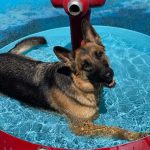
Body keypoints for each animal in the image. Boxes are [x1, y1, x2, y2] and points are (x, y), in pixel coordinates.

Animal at [0, 20, 149, 141]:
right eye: (86, 66)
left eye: (99, 54)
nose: (109, 74)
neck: (79, 86)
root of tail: (5, 54)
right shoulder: (81, 127)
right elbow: (113, 129)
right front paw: (135, 135)